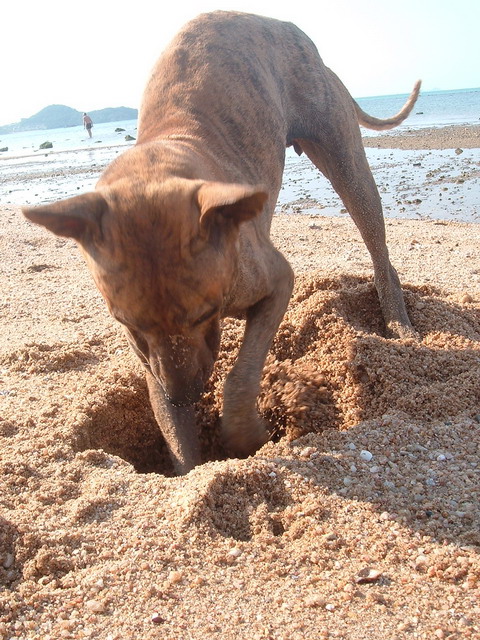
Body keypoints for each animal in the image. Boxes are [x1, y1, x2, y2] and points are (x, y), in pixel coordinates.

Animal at [23, 12, 420, 476]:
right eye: (127, 323)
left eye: (204, 313)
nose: (185, 396)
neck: (163, 156)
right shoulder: (147, 356)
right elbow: (174, 434)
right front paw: (191, 461)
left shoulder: (277, 282)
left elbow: (242, 373)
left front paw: (245, 435)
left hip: (345, 159)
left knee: (378, 246)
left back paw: (398, 324)